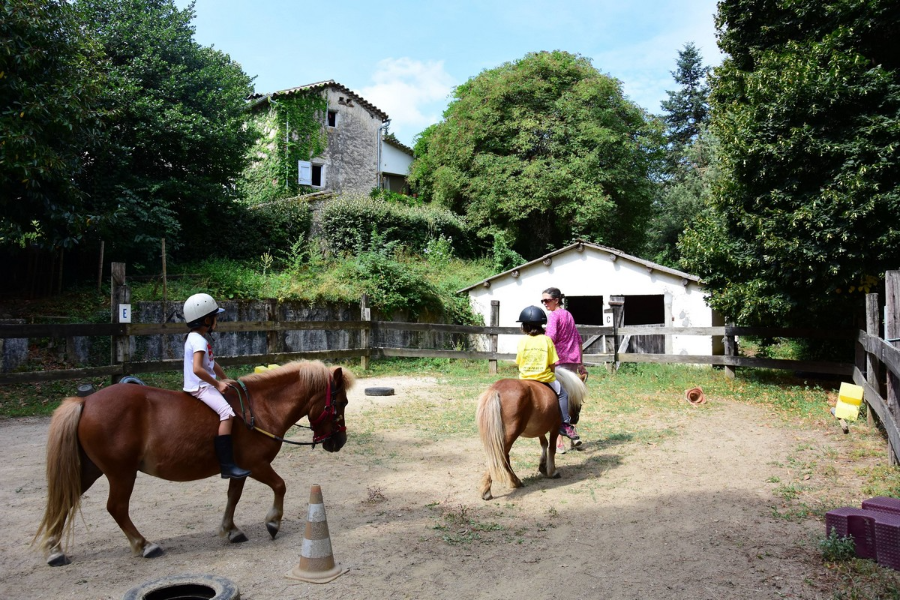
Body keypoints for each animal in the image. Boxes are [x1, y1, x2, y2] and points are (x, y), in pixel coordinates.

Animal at [31, 360, 356, 568]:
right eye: (340, 403)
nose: (339, 442)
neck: (262, 408)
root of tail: (85, 402)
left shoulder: (240, 469)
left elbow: (233, 496)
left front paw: (231, 530)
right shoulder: (258, 464)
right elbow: (280, 485)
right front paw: (273, 522)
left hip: (90, 469)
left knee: (66, 501)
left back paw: (55, 550)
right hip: (120, 473)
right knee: (116, 508)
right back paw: (144, 545)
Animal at [474, 366, 588, 502]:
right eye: (580, 401)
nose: (575, 419)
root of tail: (496, 389)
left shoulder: (540, 427)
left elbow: (544, 443)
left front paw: (543, 466)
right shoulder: (554, 427)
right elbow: (551, 448)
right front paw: (552, 471)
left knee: (502, 458)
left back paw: (514, 482)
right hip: (510, 435)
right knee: (500, 457)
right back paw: (491, 489)